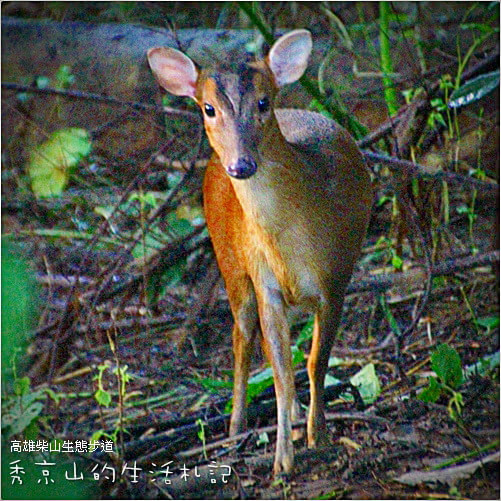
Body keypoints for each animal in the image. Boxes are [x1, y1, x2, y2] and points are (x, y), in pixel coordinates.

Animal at [147, 29, 372, 474]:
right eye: (208, 108)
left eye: (264, 102)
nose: (241, 165)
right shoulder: (264, 280)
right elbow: (281, 372)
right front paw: (283, 459)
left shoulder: (336, 278)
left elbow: (315, 362)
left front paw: (317, 434)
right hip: (229, 260)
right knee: (241, 334)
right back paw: (236, 425)